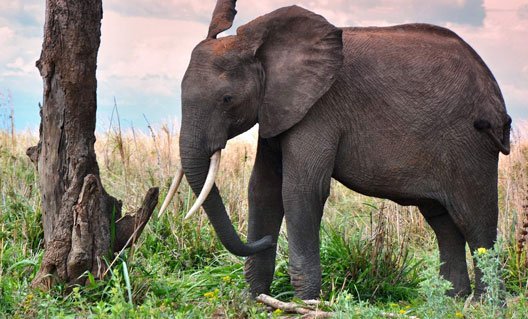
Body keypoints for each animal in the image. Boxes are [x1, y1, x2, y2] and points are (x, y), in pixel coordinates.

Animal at [158, 0, 512, 300]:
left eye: (227, 99)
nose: (265, 241)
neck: (264, 50)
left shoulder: (319, 109)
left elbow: (301, 190)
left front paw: (306, 303)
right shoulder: (278, 106)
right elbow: (263, 189)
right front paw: (255, 300)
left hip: (471, 145)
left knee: (476, 221)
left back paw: (484, 304)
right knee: (443, 222)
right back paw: (453, 300)